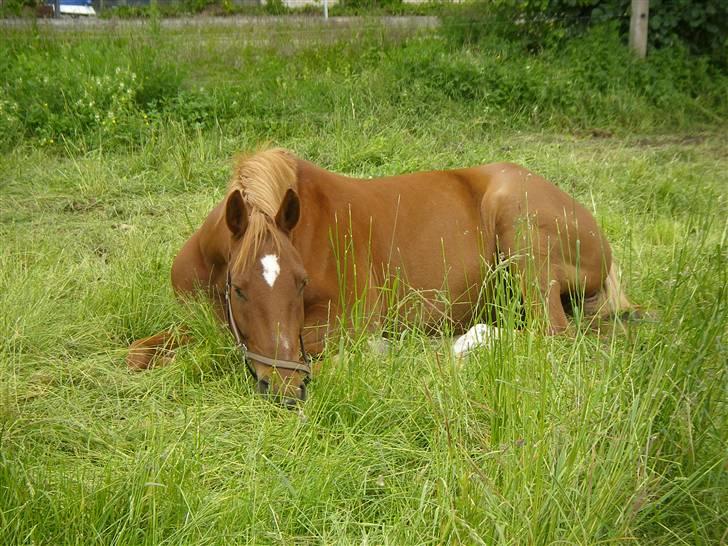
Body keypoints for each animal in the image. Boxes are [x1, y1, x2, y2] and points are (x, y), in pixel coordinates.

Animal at [128, 148, 636, 404]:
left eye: (300, 282)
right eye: (238, 288)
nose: (289, 391)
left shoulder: (350, 321)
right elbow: (141, 353)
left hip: (523, 238)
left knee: (552, 333)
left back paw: (467, 343)